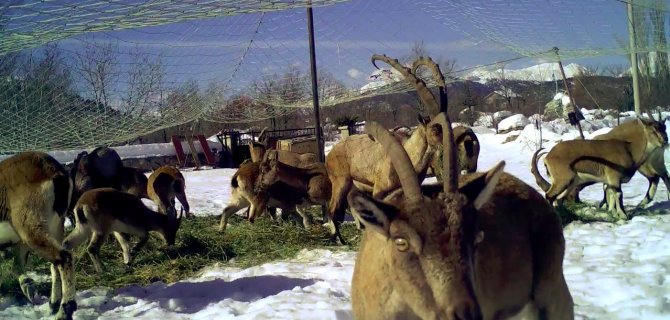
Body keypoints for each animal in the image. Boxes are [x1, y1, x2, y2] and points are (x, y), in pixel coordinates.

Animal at [0, 151, 76, 318]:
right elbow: (17, 265)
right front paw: (29, 288)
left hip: (30, 228)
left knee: (63, 257)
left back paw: (64, 310)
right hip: (53, 226)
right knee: (55, 263)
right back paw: (53, 303)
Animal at [326, 55, 446, 245]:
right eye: (435, 129)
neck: (408, 154)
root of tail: (330, 153)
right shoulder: (379, 190)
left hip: (354, 185)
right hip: (340, 180)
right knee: (332, 209)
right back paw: (338, 239)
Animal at [532, 117, 668, 220]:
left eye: (664, 128)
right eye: (653, 130)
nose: (665, 141)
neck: (629, 150)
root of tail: (548, 156)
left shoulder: (610, 182)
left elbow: (611, 195)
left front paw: (614, 214)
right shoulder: (614, 177)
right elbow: (618, 194)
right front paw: (623, 216)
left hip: (570, 183)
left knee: (558, 198)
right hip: (563, 180)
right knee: (549, 195)